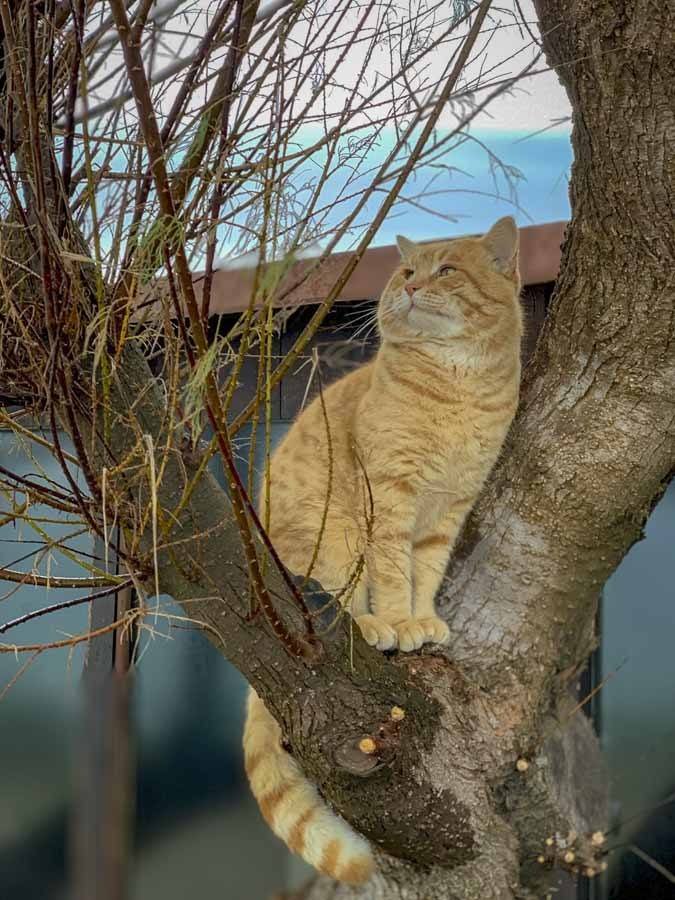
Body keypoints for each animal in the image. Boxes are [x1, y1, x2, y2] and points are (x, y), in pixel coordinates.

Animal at [243, 220, 524, 884]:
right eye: (406, 271)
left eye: (446, 270)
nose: (413, 285)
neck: (458, 384)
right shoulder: (391, 497)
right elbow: (395, 571)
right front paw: (397, 620)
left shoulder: (448, 511)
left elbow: (427, 572)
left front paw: (423, 619)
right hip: (336, 542)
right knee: (344, 597)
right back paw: (371, 625)